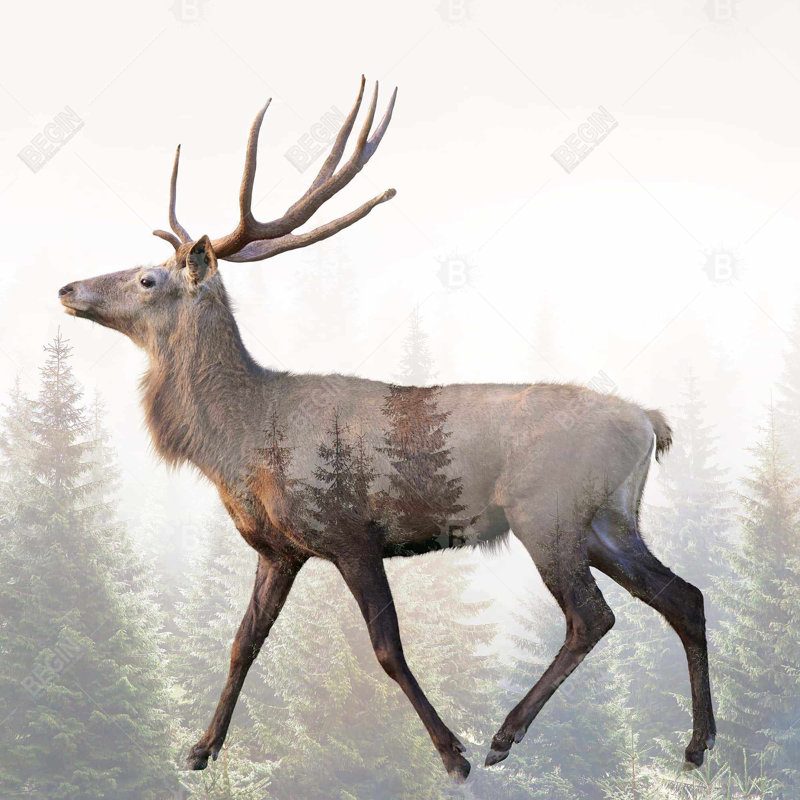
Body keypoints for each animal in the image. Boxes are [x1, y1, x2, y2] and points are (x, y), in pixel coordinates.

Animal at [57, 77, 715, 783]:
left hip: (548, 510)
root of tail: (649, 421)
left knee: (592, 616)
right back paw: (699, 744)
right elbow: (242, 644)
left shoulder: (349, 531)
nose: (68, 287)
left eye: (147, 278)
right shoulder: (279, 548)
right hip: (609, 518)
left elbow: (387, 648)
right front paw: (200, 748)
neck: (242, 442)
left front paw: (451, 753)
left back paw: (504, 734)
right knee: (684, 596)